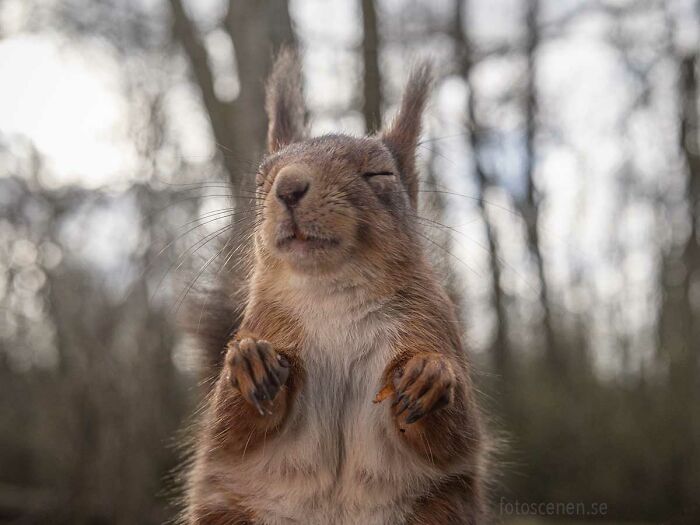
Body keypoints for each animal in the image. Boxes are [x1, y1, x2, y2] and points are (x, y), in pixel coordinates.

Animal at [181, 50, 489, 525]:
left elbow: (454, 438)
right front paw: (249, 363)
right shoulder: (263, 329)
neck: (331, 294)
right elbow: (232, 429)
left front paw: (430, 376)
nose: (289, 187)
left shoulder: (433, 328)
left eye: (379, 173)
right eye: (261, 180)